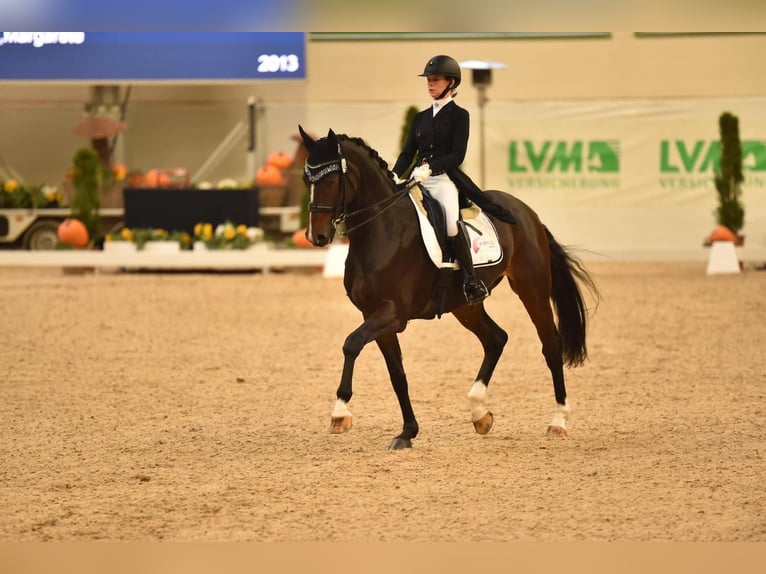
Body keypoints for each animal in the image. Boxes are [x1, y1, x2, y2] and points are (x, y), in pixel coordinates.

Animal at [300, 127, 600, 454]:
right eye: (306, 180)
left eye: (330, 180)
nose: (316, 236)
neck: (382, 230)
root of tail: (527, 213)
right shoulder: (376, 316)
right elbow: (397, 375)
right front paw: (407, 432)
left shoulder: (392, 315)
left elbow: (351, 344)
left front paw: (340, 413)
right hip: (465, 305)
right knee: (496, 339)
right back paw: (480, 413)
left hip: (531, 288)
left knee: (550, 345)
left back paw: (558, 420)